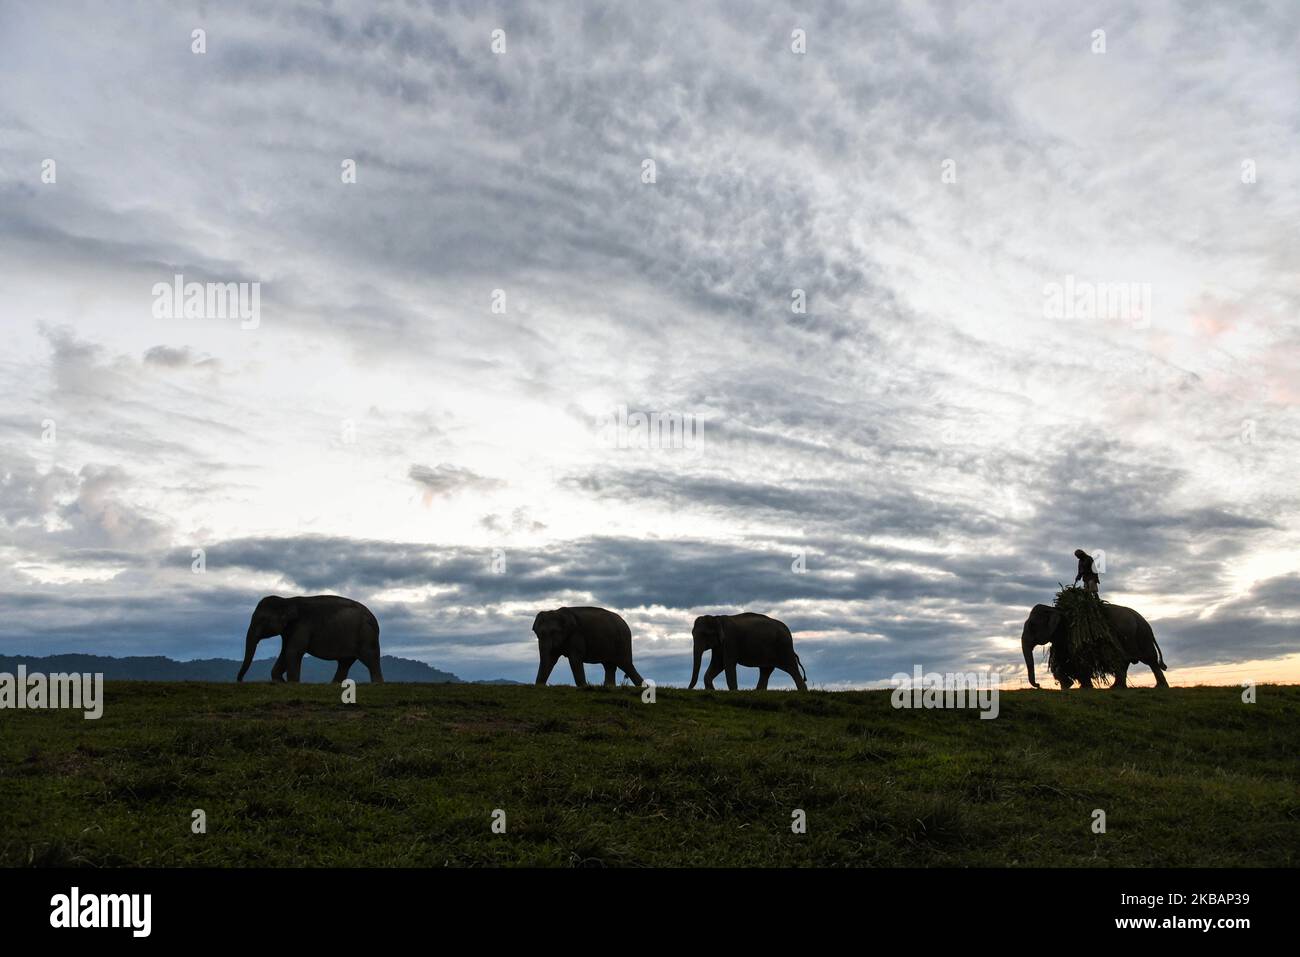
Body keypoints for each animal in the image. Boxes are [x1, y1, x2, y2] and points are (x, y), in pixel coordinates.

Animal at [236, 595, 382, 686]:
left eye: (262, 620)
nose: (240, 681)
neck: (287, 600)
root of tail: (375, 621)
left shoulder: (302, 626)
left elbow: (293, 652)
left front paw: (292, 683)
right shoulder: (288, 631)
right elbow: (285, 652)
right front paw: (279, 681)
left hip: (366, 635)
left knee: (370, 659)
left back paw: (377, 683)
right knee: (345, 662)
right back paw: (333, 684)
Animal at [1024, 605, 1170, 686]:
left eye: (1032, 625)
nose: (1038, 685)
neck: (1055, 609)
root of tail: (1146, 623)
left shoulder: (1074, 632)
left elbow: (1079, 658)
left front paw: (1083, 687)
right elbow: (1062, 659)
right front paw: (1068, 685)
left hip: (1138, 635)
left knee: (1146, 660)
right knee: (1130, 660)